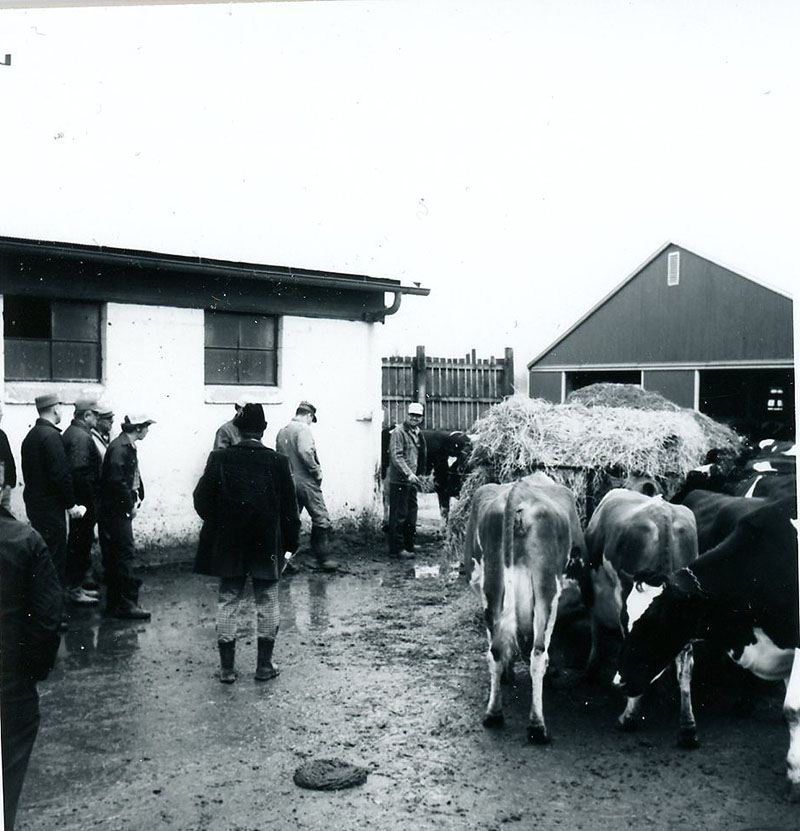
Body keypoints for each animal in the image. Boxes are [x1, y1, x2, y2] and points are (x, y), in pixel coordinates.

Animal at [466, 472, 584, 744]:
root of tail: (518, 492)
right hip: (546, 589)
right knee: (538, 654)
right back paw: (537, 726)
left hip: (492, 585)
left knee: (496, 649)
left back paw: (494, 714)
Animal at [580, 488, 700, 748]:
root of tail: (663, 513)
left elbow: (596, 630)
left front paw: (591, 668)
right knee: (685, 666)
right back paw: (687, 728)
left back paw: (629, 716)